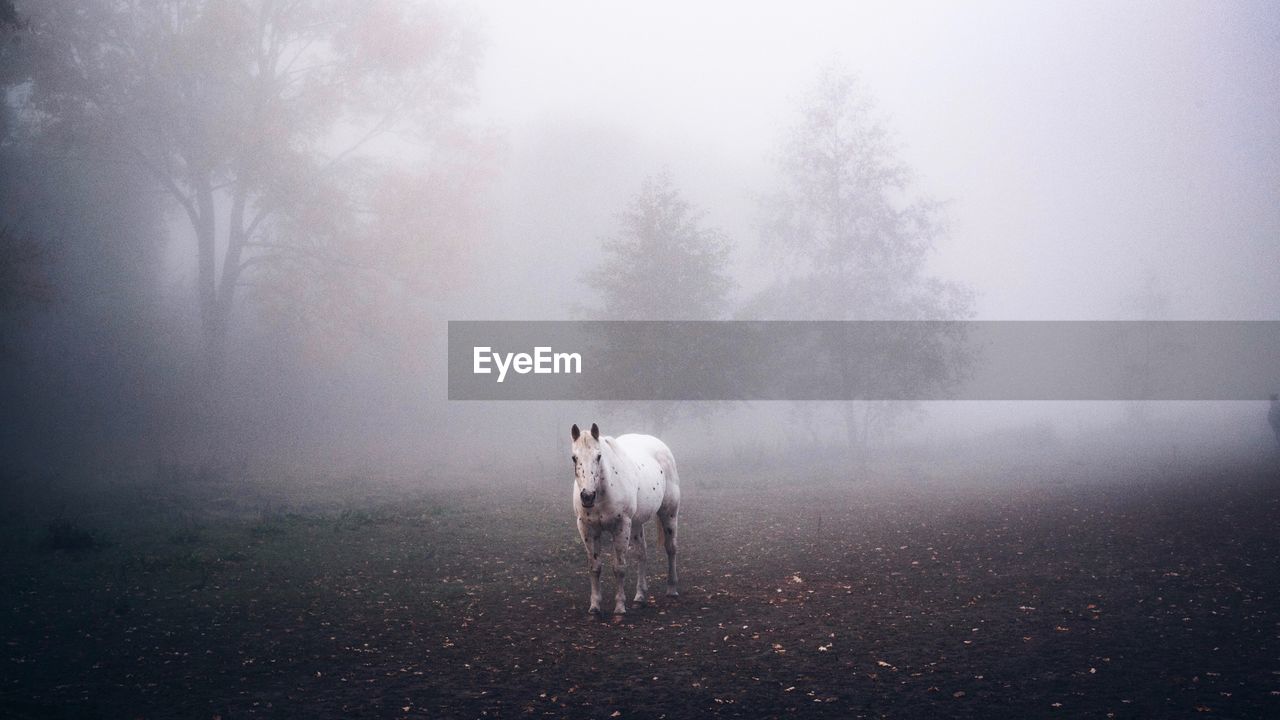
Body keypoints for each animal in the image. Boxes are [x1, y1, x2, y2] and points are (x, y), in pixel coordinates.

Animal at [570, 422, 680, 614]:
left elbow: (619, 568)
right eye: (574, 458)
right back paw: (640, 596)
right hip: (635, 524)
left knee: (671, 548)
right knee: (641, 554)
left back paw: (671, 589)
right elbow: (594, 567)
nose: (587, 496)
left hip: (669, 514)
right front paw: (595, 606)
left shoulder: (621, 526)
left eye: (599, 456)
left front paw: (620, 607)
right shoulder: (588, 529)